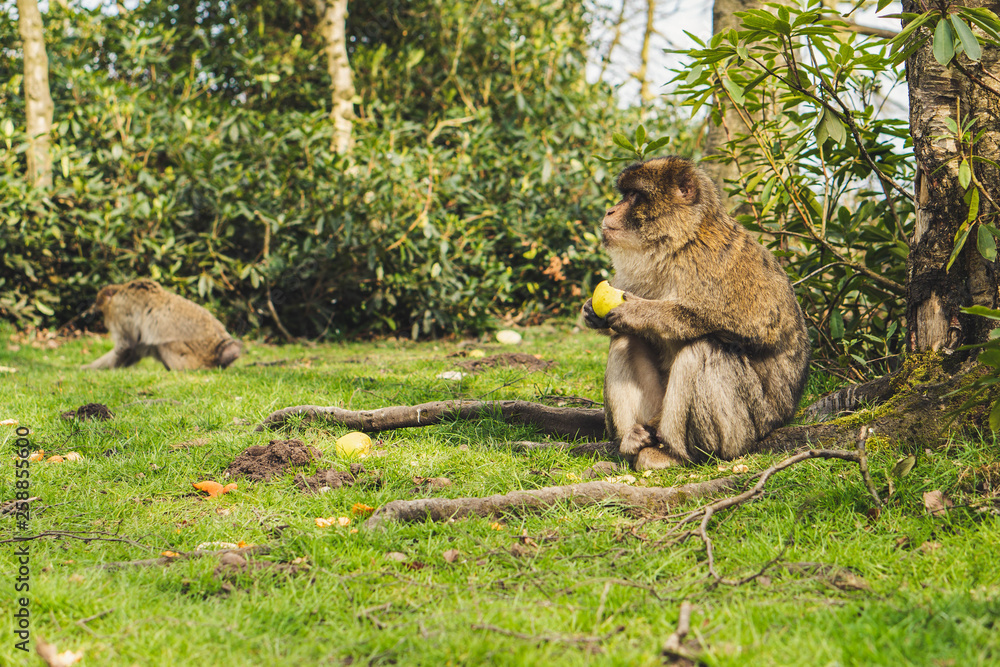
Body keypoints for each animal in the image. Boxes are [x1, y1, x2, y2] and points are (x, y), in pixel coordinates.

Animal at [82, 279, 241, 371]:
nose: (92, 310)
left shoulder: (121, 312)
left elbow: (127, 345)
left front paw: (90, 368)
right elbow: (135, 349)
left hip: (194, 358)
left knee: (162, 344)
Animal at [582, 157, 810, 470]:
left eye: (634, 196)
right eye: (625, 195)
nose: (610, 210)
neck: (678, 245)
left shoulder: (721, 262)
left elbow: (756, 326)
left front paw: (642, 312)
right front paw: (589, 312)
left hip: (747, 428)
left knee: (704, 347)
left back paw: (676, 453)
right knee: (625, 341)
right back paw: (632, 439)